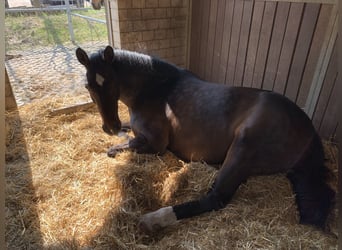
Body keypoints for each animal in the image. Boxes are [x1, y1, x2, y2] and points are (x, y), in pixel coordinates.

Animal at [76, 45, 336, 234]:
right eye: (88, 86)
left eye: (111, 82)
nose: (110, 126)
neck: (156, 89)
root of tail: (309, 129)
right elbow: (126, 133)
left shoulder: (154, 143)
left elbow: (116, 149)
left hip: (243, 147)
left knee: (216, 198)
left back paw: (153, 219)